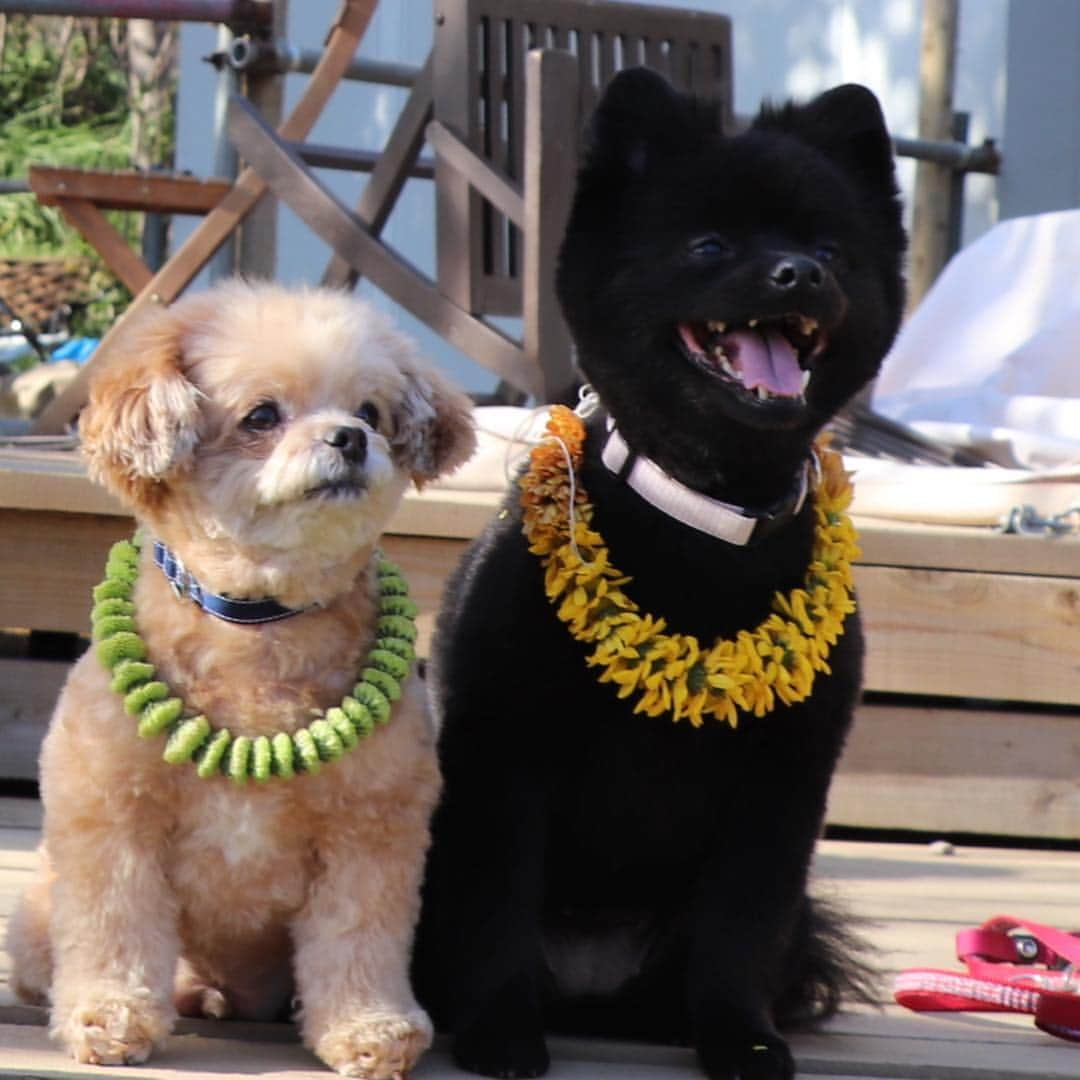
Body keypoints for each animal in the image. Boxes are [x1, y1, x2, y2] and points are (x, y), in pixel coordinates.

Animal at [5, 280, 477, 1080]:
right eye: (262, 416)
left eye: (371, 411)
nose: (350, 438)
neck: (258, 622)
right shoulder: (114, 819)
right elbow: (114, 923)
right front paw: (111, 1015)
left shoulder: (370, 833)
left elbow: (359, 935)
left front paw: (368, 1028)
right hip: (38, 909)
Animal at [416, 69, 907, 1080]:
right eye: (709, 245)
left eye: (829, 249)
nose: (798, 273)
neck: (706, 522)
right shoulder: (504, 753)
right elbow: (494, 909)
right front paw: (499, 1032)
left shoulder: (780, 785)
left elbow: (737, 930)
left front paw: (739, 1039)